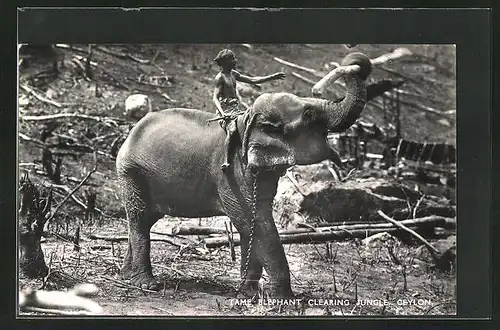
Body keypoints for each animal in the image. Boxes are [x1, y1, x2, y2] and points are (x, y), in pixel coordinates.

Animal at [116, 52, 372, 300]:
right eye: (308, 114)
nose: (317, 88)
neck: (247, 118)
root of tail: (132, 131)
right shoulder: (232, 175)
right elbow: (254, 222)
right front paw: (284, 300)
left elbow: (251, 224)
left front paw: (247, 294)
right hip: (132, 171)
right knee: (139, 218)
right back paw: (147, 284)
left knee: (145, 219)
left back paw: (127, 275)